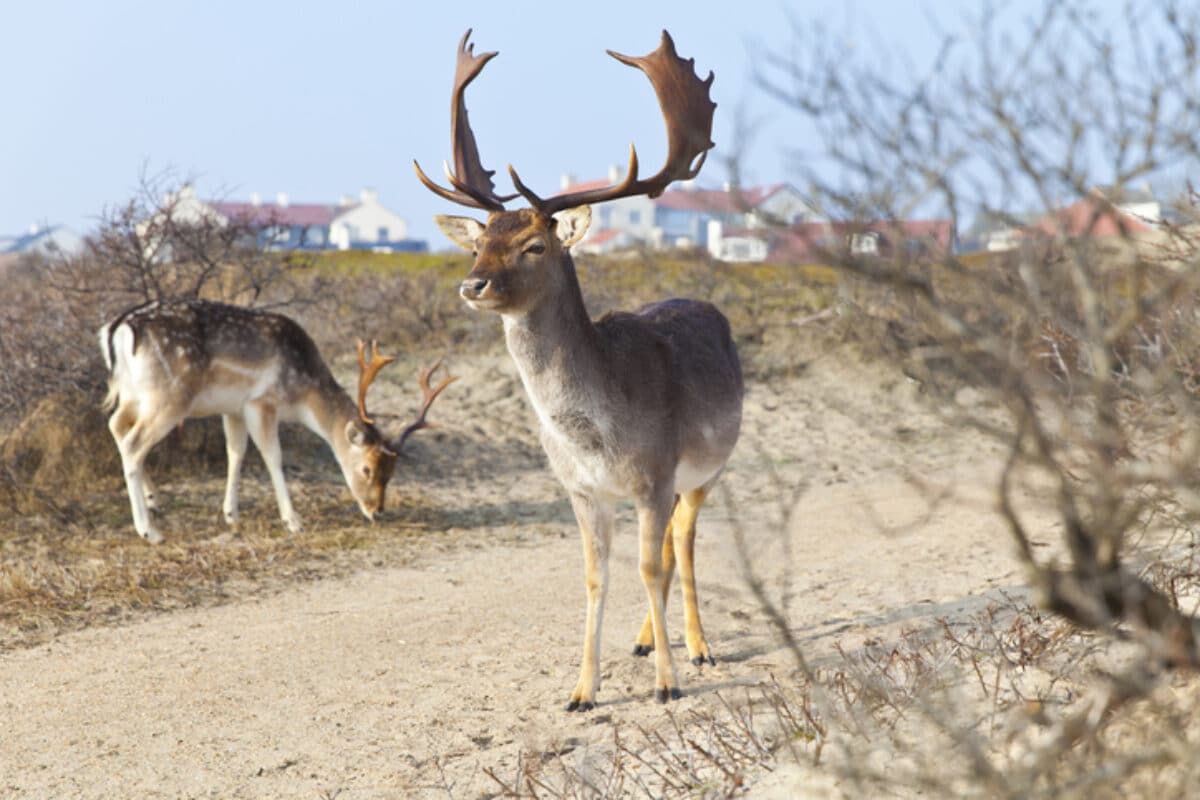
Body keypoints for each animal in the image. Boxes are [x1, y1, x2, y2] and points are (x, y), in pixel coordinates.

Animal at [97, 299, 453, 544]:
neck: (302, 394)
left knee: (116, 426)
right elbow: (273, 457)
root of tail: (118, 329)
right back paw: (149, 531)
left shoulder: (233, 408)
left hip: (132, 394)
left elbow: (236, 452)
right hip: (170, 396)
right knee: (133, 443)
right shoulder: (262, 402)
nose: (376, 509)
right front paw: (294, 521)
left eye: (391, 471)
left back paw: (154, 501)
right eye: (367, 469)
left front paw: (232, 515)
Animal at [417, 29, 744, 705]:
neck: (599, 436)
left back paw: (698, 647)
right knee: (669, 546)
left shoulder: (654, 475)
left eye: (534, 245)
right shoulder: (580, 488)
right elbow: (596, 578)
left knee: (682, 541)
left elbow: (648, 566)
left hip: (710, 467)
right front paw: (582, 690)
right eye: (479, 240)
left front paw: (667, 684)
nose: (472, 284)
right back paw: (646, 639)